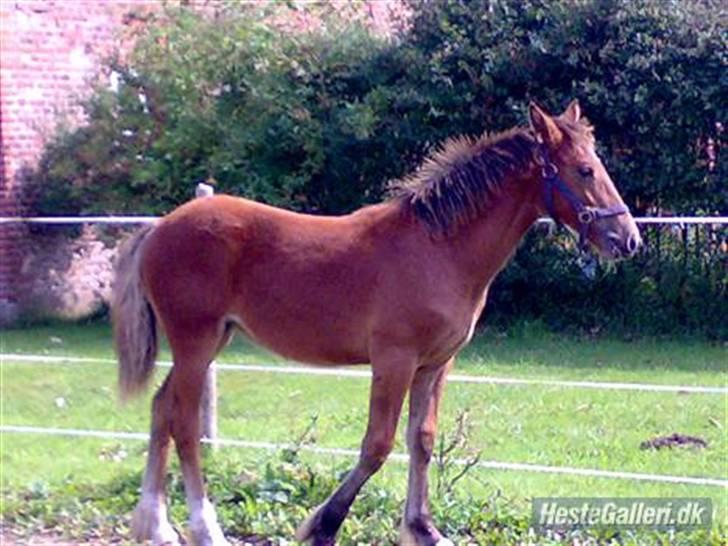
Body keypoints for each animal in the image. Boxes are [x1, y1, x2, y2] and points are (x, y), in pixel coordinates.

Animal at [111, 100, 640, 540]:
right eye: (585, 169)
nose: (628, 239)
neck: (439, 249)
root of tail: (159, 228)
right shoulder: (394, 359)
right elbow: (378, 444)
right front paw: (323, 526)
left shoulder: (435, 364)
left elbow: (422, 440)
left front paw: (423, 528)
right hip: (196, 341)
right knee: (182, 421)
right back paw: (204, 529)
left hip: (210, 341)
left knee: (161, 408)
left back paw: (155, 526)